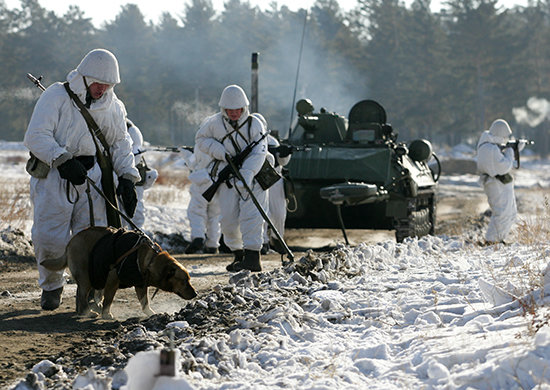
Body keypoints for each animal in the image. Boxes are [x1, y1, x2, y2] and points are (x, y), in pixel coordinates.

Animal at [42, 225, 198, 320]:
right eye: (184, 281)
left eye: (189, 280)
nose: (196, 294)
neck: (151, 260)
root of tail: (70, 242)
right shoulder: (113, 278)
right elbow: (109, 300)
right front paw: (106, 314)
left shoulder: (141, 285)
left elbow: (144, 302)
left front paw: (150, 313)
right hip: (86, 276)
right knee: (82, 295)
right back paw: (87, 312)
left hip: (93, 276)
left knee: (81, 293)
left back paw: (84, 311)